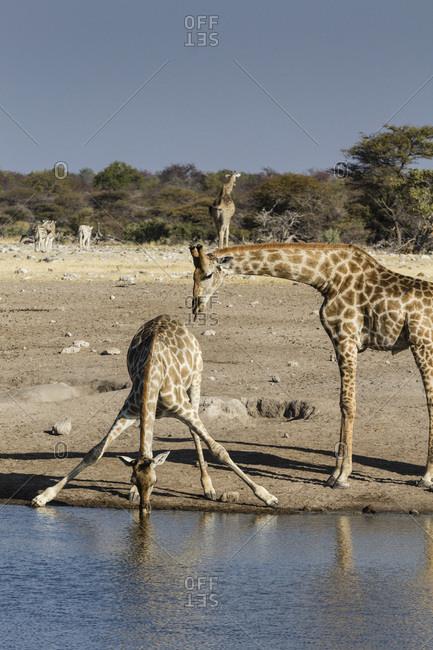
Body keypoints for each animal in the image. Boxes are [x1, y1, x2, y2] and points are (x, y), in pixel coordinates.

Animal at [31, 314, 278, 511]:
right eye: (133, 478)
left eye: (156, 483)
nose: (145, 509)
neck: (153, 376)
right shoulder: (130, 410)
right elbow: (95, 452)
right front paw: (43, 497)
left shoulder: (183, 407)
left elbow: (219, 451)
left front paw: (268, 497)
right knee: (147, 442)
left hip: (196, 382)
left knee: (195, 433)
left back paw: (208, 487)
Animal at [190, 242, 433, 489]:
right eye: (193, 275)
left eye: (208, 274)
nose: (196, 306)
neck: (328, 277)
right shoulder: (340, 341)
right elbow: (342, 404)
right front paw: (334, 474)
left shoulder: (346, 338)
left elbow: (348, 404)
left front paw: (342, 476)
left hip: (423, 344)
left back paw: (426, 477)